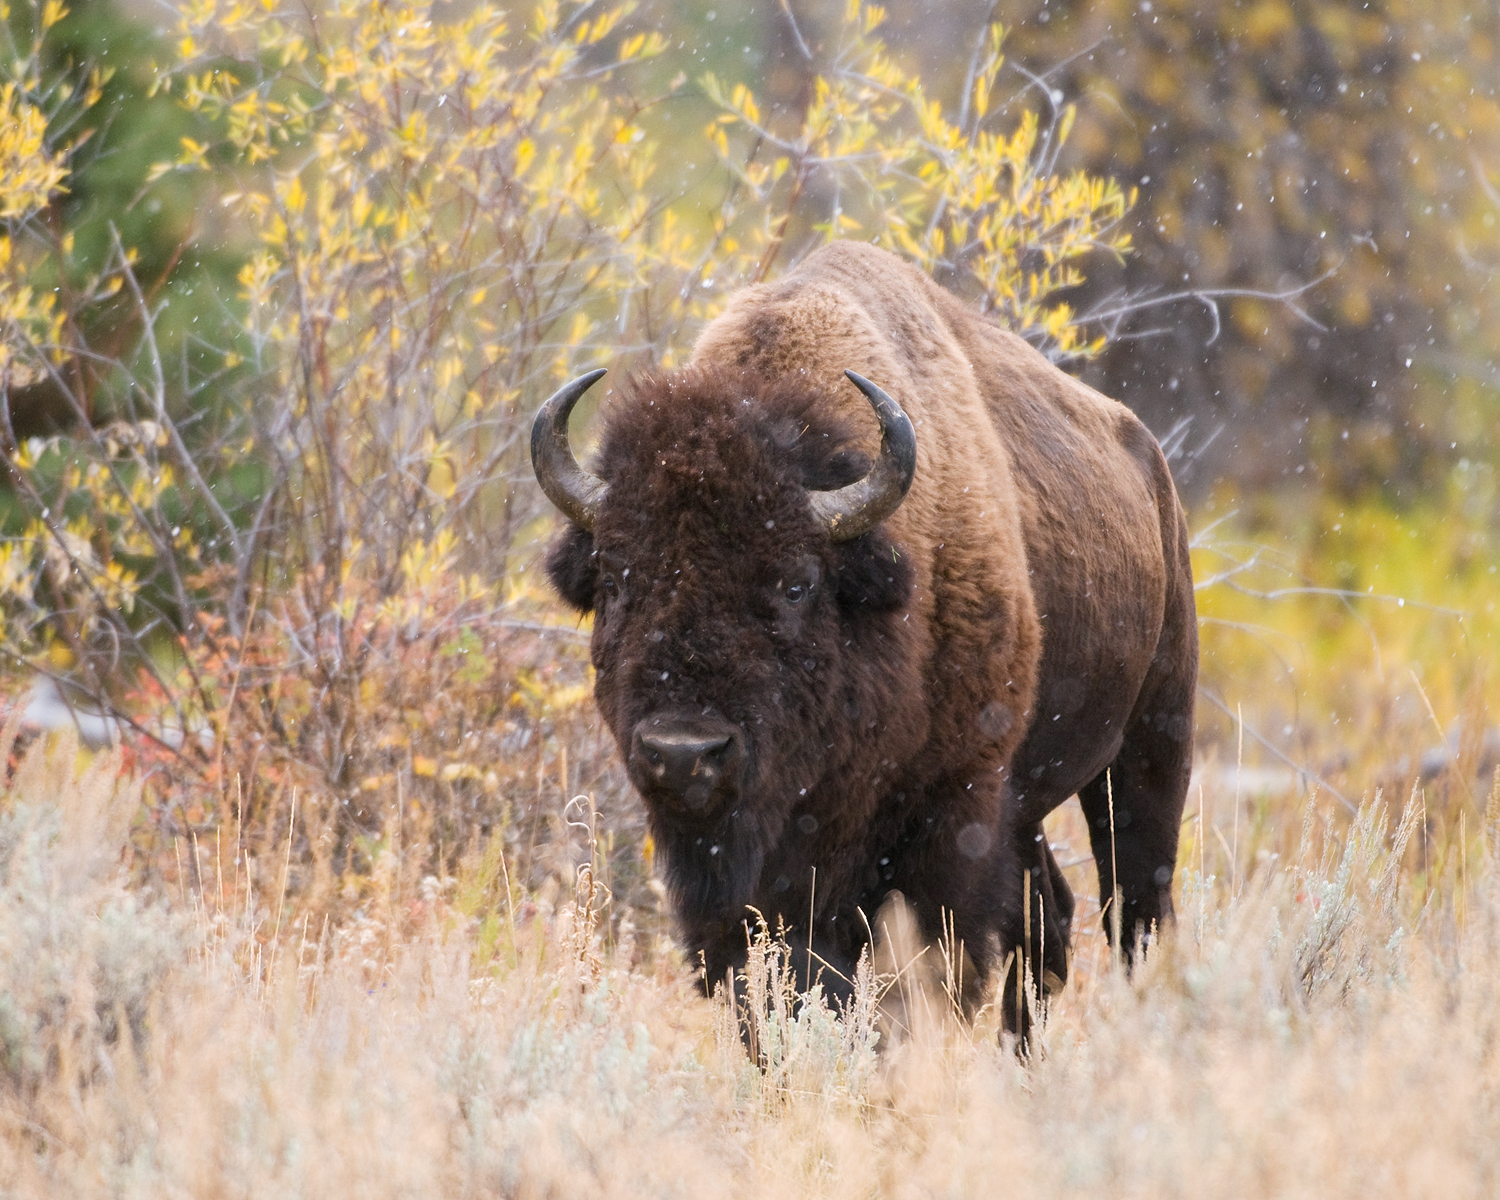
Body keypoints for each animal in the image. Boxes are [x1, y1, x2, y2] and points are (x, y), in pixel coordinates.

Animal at [528, 237, 1194, 1038]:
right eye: (618, 581)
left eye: (795, 583)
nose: (684, 753)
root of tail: (1153, 467)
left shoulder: (955, 808)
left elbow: (927, 970)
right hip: (1031, 801)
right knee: (1052, 921)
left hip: (1152, 743)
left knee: (1135, 907)